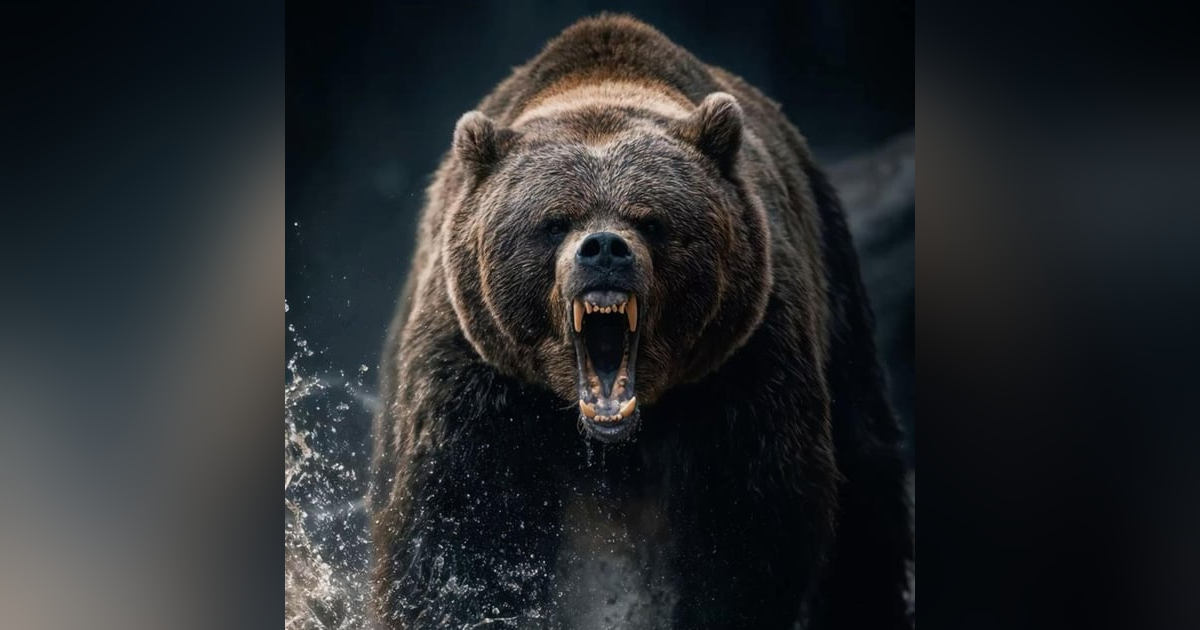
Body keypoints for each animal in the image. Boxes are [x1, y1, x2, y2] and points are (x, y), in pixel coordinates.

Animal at [369, 14, 912, 630]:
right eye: (555, 222)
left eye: (651, 221)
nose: (604, 248)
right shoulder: (481, 375)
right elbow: (462, 528)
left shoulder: (746, 363)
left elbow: (747, 528)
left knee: (867, 489)